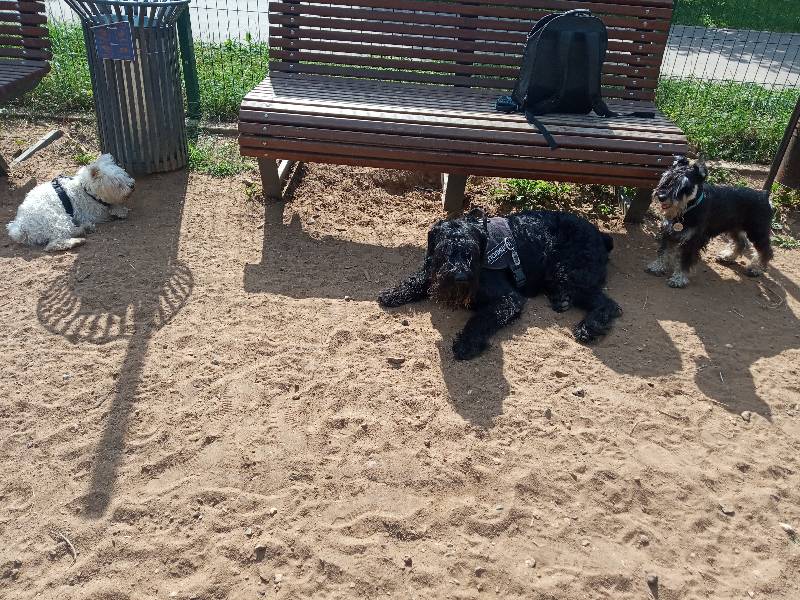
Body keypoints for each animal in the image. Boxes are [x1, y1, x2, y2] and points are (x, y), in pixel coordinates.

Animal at [6, 154, 135, 252]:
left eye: (125, 174)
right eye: (117, 183)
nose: (132, 186)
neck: (85, 189)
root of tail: (21, 228)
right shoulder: (91, 213)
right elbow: (107, 209)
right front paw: (119, 211)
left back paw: (84, 228)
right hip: (58, 219)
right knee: (54, 243)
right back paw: (78, 238)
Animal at [378, 209, 622, 360]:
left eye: (472, 250)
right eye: (443, 249)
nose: (460, 277)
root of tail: (601, 235)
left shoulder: (507, 299)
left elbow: (481, 319)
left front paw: (466, 343)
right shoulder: (432, 271)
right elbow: (416, 280)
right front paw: (392, 293)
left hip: (567, 271)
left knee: (607, 304)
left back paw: (588, 327)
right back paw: (561, 299)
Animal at [645, 156, 774, 288]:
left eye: (684, 186)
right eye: (667, 178)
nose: (661, 196)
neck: (689, 208)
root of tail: (764, 195)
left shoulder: (693, 240)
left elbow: (684, 260)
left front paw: (678, 278)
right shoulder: (668, 233)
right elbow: (664, 251)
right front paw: (657, 266)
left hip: (757, 231)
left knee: (766, 250)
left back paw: (756, 268)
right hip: (734, 228)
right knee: (741, 242)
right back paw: (728, 257)